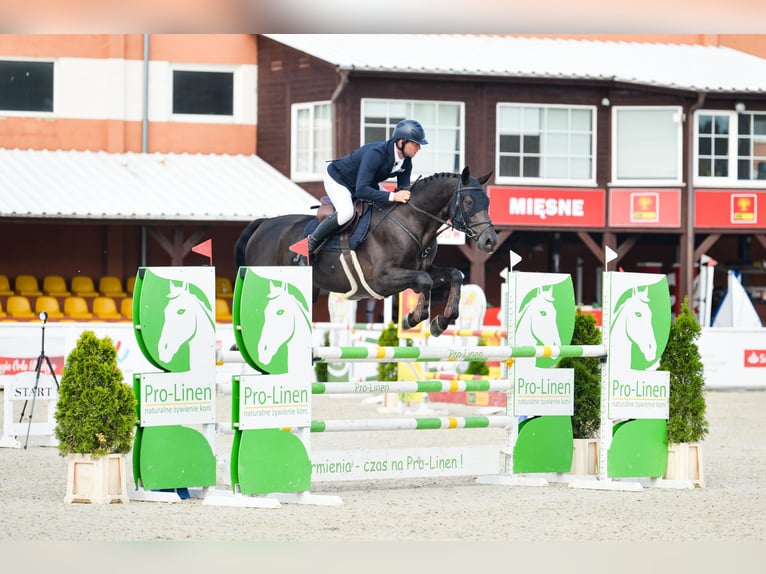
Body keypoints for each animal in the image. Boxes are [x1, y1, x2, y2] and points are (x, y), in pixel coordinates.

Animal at [234, 166, 500, 338]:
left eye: (487, 202)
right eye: (468, 201)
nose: (490, 241)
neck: (413, 222)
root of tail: (263, 224)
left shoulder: (421, 269)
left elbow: (455, 275)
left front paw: (441, 321)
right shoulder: (383, 279)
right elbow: (424, 281)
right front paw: (413, 318)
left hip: (309, 289)